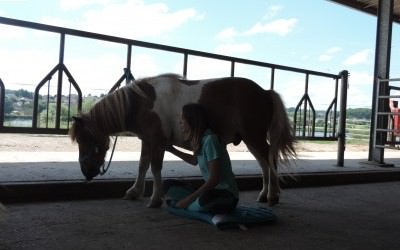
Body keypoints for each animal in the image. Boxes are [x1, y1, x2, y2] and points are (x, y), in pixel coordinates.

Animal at [69, 73, 296, 207]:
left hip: (255, 137)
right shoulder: (147, 141)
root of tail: (265, 92)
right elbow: (142, 165)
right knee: (264, 164)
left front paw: (155, 199)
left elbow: (155, 167)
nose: (86, 173)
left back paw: (273, 196)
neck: (142, 103)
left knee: (270, 162)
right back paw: (264, 194)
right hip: (250, 140)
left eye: (84, 139)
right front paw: (135, 191)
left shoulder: (157, 142)